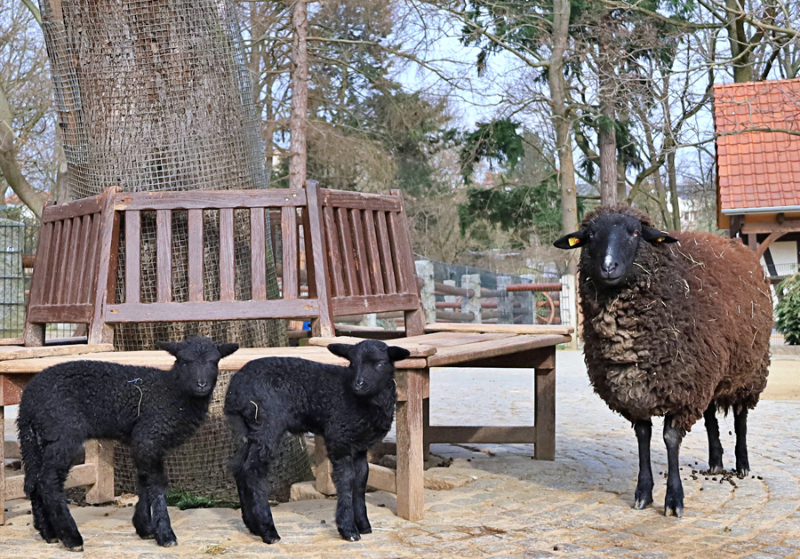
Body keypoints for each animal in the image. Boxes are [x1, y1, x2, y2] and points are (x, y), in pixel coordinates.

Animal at [17, 336, 238, 552]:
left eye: (215, 361)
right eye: (184, 361)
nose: (201, 384)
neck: (173, 392)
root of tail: (28, 400)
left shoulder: (142, 443)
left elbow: (143, 480)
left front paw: (144, 527)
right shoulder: (150, 435)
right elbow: (157, 484)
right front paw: (165, 534)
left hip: (34, 439)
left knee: (33, 482)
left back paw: (49, 533)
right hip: (63, 432)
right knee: (49, 481)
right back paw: (71, 538)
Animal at [227, 340, 410, 544]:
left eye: (380, 364)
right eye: (352, 363)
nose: (358, 383)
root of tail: (235, 390)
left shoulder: (360, 446)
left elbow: (361, 478)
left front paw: (363, 524)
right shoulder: (339, 437)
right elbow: (346, 479)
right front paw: (348, 529)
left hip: (249, 429)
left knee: (239, 468)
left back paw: (252, 526)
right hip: (267, 423)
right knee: (253, 470)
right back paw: (268, 531)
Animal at [552, 208, 772, 520]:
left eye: (634, 232)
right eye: (590, 235)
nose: (608, 266)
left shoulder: (681, 390)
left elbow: (670, 439)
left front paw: (673, 499)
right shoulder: (637, 394)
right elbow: (643, 437)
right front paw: (643, 493)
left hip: (749, 370)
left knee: (741, 417)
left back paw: (742, 463)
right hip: (709, 374)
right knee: (710, 417)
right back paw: (715, 460)